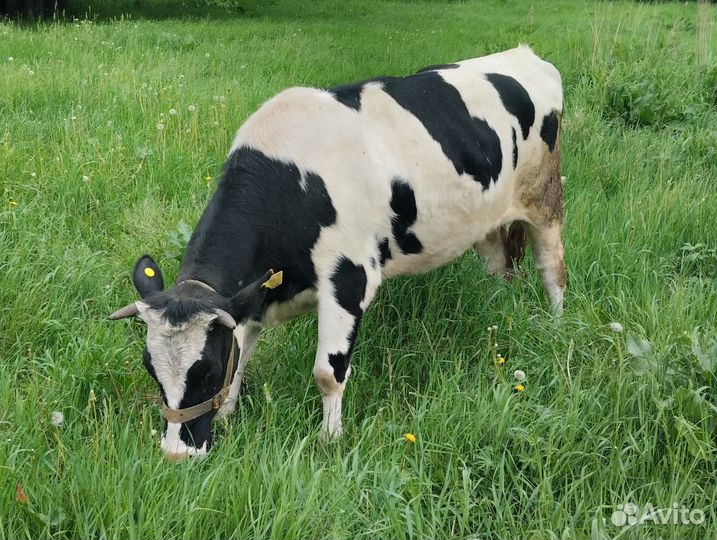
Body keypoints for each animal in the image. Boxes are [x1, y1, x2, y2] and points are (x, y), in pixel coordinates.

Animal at [109, 45, 565, 460]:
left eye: (205, 370)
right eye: (151, 368)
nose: (176, 453)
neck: (292, 182)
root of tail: (523, 53)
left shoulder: (349, 275)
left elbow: (328, 372)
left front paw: (330, 440)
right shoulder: (254, 291)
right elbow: (243, 351)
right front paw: (227, 415)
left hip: (546, 199)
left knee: (552, 268)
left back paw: (555, 324)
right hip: (485, 218)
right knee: (499, 269)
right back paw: (496, 320)